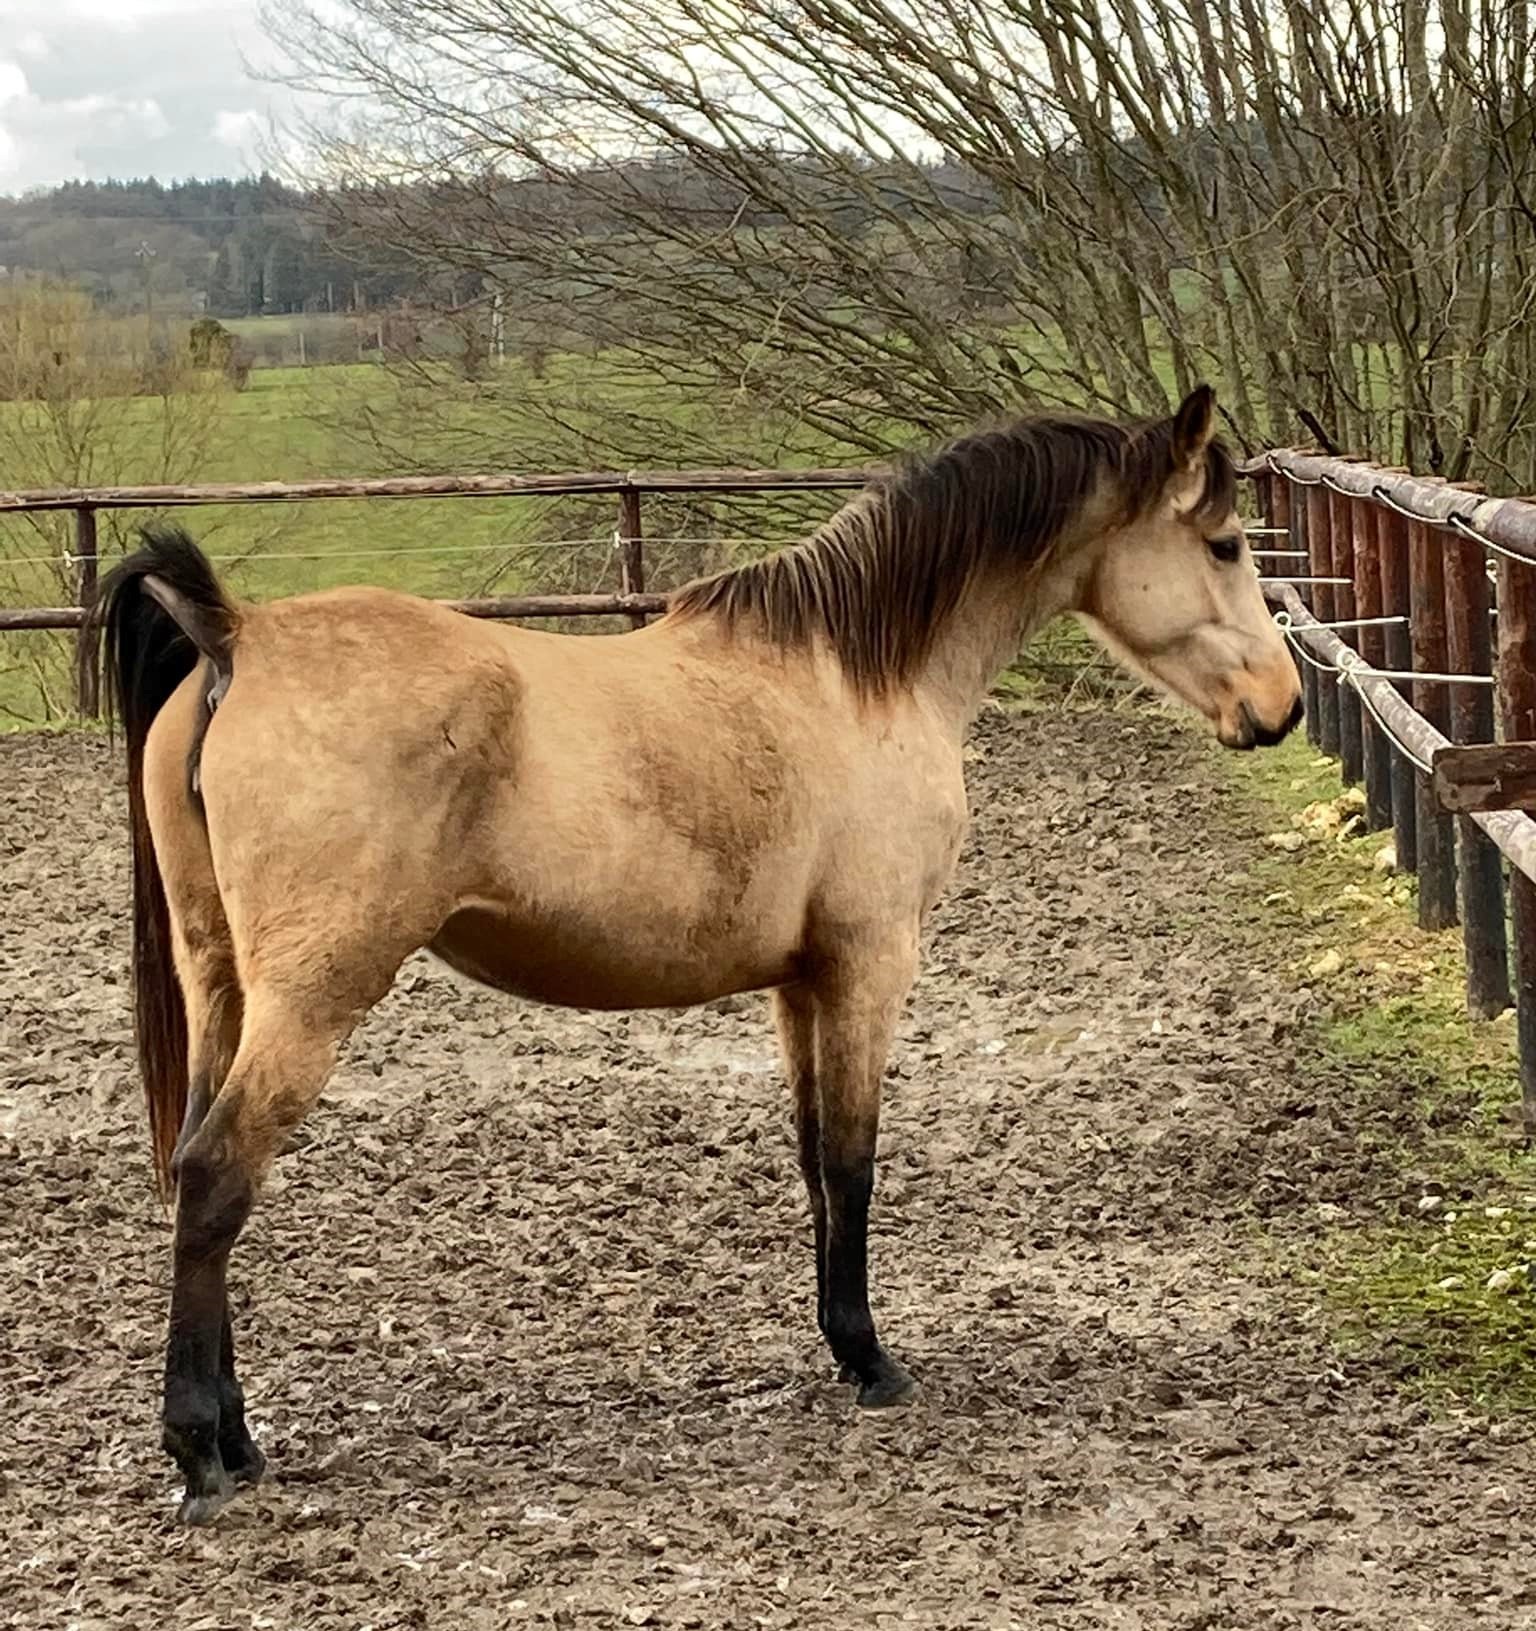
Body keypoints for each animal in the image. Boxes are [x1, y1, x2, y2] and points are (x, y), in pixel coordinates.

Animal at [87, 388, 1297, 1520]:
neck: (857, 675)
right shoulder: (870, 966)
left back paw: (238, 1436)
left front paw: (840, 1345)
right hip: (312, 998)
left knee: (194, 1169)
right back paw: (203, 1454)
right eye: (1226, 545)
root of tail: (237, 637)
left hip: (222, 986)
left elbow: (813, 1158)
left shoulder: (801, 982)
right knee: (218, 1174)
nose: (1280, 707)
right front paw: (874, 1360)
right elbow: (852, 1161)